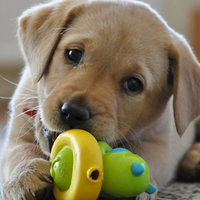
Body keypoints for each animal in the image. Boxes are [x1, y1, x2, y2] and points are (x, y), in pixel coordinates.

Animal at [0, 0, 200, 200]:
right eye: (73, 54)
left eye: (133, 84)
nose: (73, 112)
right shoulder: (16, 134)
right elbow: (20, 152)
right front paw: (26, 175)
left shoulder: (160, 145)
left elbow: (145, 156)